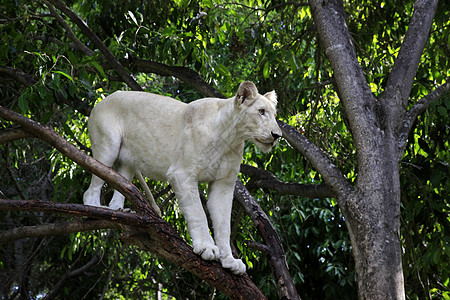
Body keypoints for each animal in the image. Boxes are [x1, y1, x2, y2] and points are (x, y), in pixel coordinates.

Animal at [83, 81, 282, 274]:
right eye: (261, 111)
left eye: (274, 115)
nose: (277, 135)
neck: (230, 138)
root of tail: (102, 100)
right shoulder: (182, 173)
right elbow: (198, 213)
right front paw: (207, 248)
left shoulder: (223, 184)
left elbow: (224, 224)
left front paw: (229, 261)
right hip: (108, 146)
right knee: (92, 185)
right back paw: (95, 208)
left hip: (127, 162)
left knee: (122, 181)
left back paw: (119, 210)